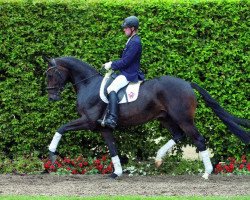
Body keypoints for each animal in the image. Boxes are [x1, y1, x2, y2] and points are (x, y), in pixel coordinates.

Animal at [45, 56, 250, 180]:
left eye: (51, 74)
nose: (51, 97)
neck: (89, 85)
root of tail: (187, 83)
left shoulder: (88, 121)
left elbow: (61, 128)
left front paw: (52, 154)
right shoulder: (104, 128)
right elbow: (112, 149)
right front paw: (117, 172)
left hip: (184, 119)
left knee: (198, 139)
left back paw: (207, 173)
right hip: (165, 118)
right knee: (178, 136)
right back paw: (158, 159)